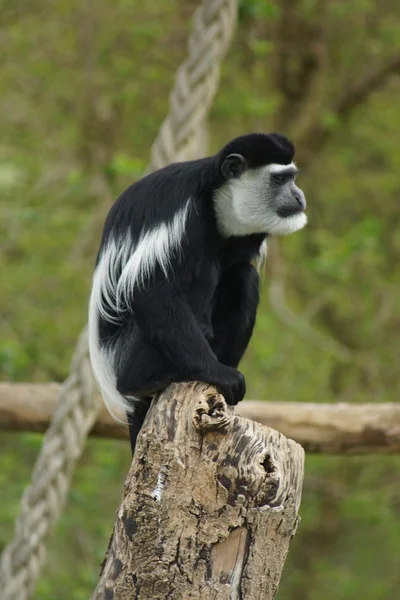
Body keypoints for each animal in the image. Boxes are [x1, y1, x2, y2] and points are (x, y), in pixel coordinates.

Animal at [87, 134, 306, 452]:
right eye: (280, 179)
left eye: (292, 177)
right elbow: (148, 288)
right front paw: (217, 373)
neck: (217, 199)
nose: (300, 197)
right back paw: (148, 380)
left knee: (243, 277)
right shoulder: (185, 213)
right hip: (125, 353)